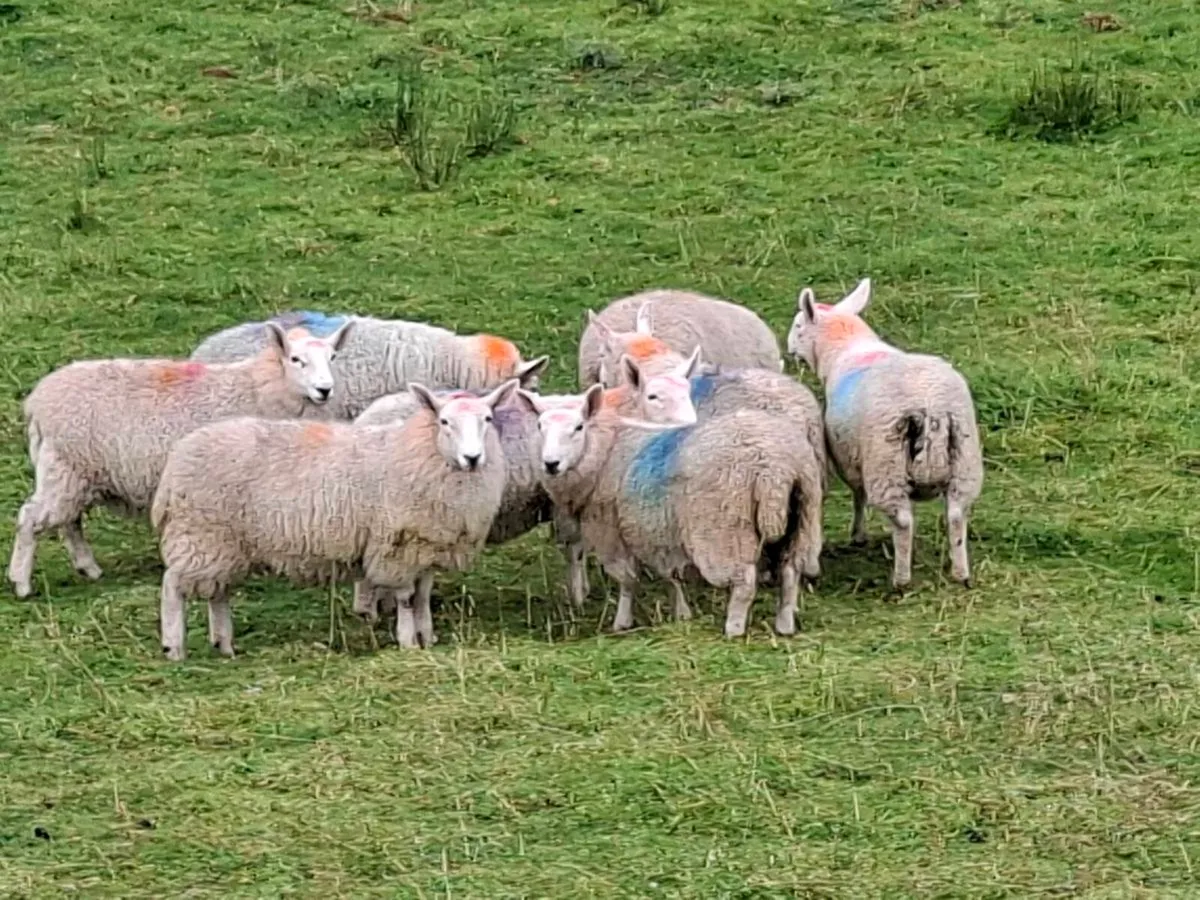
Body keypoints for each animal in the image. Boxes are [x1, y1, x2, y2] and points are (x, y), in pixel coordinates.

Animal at [7, 321, 354, 599]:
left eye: (333, 358)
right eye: (296, 360)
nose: (325, 389)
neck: (259, 388)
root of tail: (37, 401)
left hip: (74, 473)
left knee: (69, 521)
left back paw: (88, 568)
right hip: (65, 467)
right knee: (31, 518)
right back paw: (21, 583)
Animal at [151, 379, 520, 660]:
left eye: (488, 419)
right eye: (444, 422)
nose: (472, 458)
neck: (422, 452)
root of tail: (178, 458)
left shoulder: (428, 544)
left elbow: (423, 595)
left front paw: (426, 636)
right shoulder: (398, 548)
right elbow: (405, 597)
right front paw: (407, 641)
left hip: (224, 543)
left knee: (218, 591)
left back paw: (224, 644)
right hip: (201, 534)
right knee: (172, 586)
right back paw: (174, 647)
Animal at [350, 351, 703, 619]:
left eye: (688, 392)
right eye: (653, 396)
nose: (690, 426)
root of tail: (365, 418)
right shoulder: (562, 500)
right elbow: (574, 548)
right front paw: (578, 597)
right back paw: (369, 610)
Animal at [519, 384, 824, 638]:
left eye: (578, 427)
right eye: (539, 426)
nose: (550, 464)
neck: (605, 450)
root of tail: (774, 468)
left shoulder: (610, 530)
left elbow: (627, 579)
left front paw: (621, 621)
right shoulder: (657, 529)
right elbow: (670, 576)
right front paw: (681, 614)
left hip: (725, 529)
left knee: (744, 582)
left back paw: (733, 628)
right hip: (803, 516)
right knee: (790, 572)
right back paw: (785, 624)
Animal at [787, 277, 984, 589]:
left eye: (797, 326)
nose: (789, 348)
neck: (846, 346)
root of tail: (931, 408)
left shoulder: (847, 457)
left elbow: (858, 494)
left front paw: (858, 534)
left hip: (885, 462)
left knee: (902, 521)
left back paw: (901, 578)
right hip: (965, 461)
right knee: (956, 514)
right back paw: (961, 573)